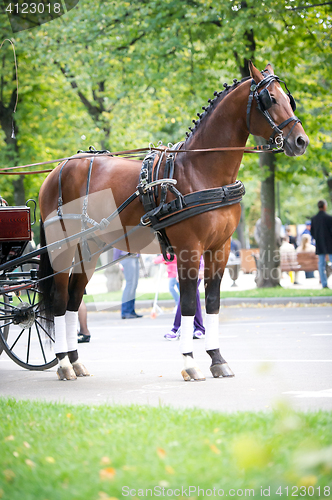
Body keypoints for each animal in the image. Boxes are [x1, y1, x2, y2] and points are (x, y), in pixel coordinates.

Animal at [38, 61, 308, 382]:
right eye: (271, 99)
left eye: (289, 99)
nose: (301, 141)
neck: (201, 171)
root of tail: (58, 169)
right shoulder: (189, 250)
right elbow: (190, 303)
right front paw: (190, 362)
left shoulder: (220, 248)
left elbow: (212, 302)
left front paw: (217, 358)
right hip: (62, 248)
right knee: (58, 300)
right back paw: (63, 363)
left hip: (88, 249)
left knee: (73, 300)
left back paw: (75, 361)